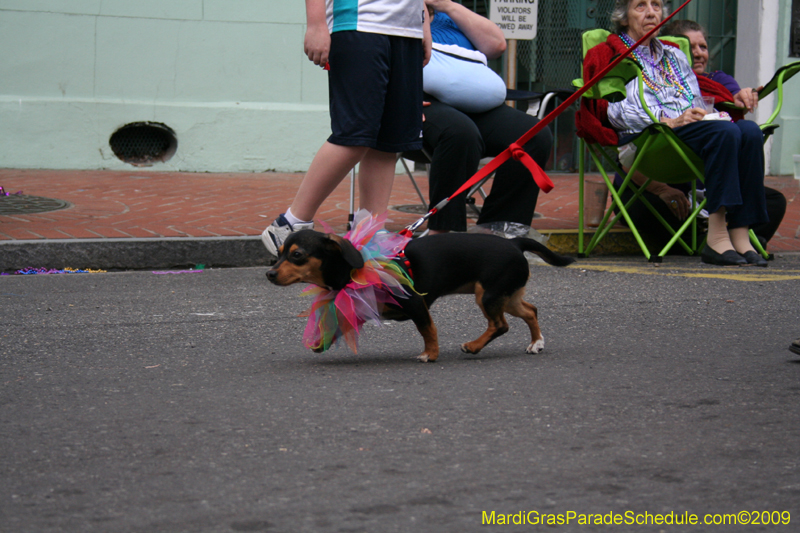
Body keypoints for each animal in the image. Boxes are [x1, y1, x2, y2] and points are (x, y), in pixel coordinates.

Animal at [268, 230, 576, 362]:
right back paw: (536, 343)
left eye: (297, 255)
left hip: (488, 296)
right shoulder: (359, 306)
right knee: (530, 310)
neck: (355, 270)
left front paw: (431, 354)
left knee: (500, 325)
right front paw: (323, 341)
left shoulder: (416, 304)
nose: (269, 274)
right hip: (506, 296)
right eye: (278, 253)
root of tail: (515, 242)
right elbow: (340, 324)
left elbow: (428, 330)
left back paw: (474, 346)